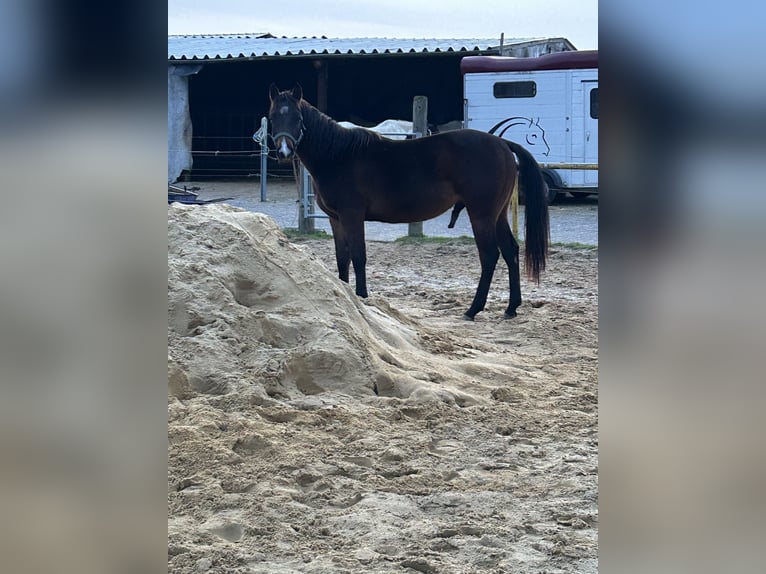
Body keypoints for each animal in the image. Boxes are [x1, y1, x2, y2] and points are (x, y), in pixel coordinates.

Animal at [268, 83, 549, 320]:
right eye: (272, 118)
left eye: (297, 118)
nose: (284, 151)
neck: (339, 156)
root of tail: (501, 143)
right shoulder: (336, 219)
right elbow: (342, 258)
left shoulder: (352, 215)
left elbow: (358, 255)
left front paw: (362, 297)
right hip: (497, 214)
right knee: (511, 251)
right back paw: (511, 308)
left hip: (481, 214)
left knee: (490, 255)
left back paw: (473, 309)